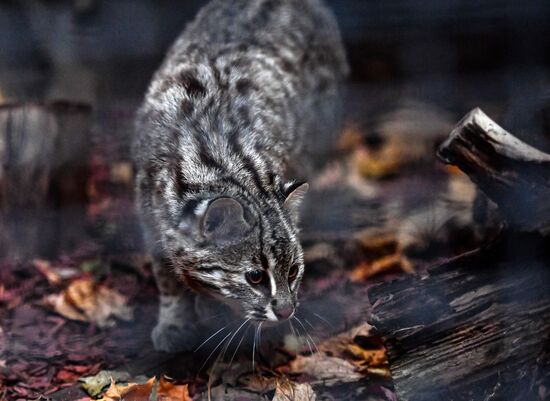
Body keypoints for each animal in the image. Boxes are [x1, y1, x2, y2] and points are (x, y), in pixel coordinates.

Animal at [133, 0, 350, 350]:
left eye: (293, 271)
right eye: (255, 277)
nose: (287, 311)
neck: (227, 167)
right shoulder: (147, 208)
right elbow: (165, 274)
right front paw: (175, 319)